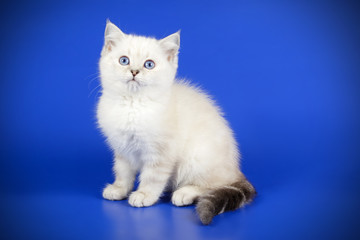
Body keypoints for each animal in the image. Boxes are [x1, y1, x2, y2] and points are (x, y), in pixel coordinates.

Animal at [96, 19, 256, 224]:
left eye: (149, 64)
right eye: (124, 60)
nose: (134, 71)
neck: (133, 105)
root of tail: (236, 169)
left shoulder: (161, 152)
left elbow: (152, 177)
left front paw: (144, 195)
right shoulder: (123, 149)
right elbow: (122, 171)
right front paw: (119, 189)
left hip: (197, 156)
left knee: (212, 185)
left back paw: (184, 193)